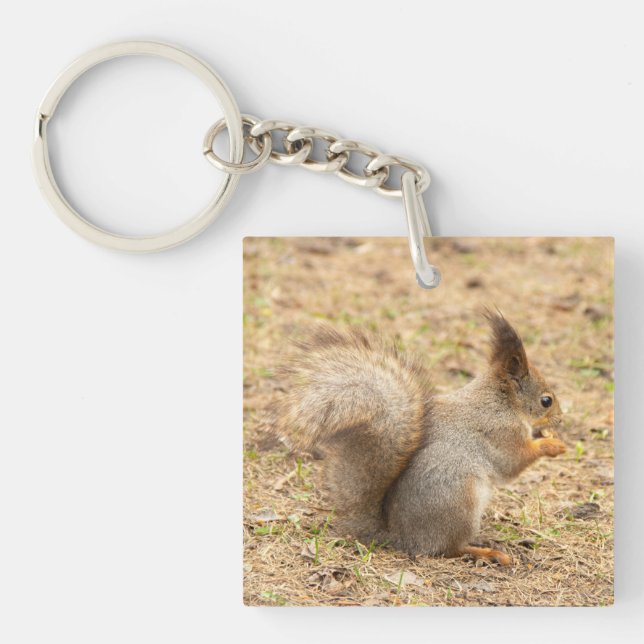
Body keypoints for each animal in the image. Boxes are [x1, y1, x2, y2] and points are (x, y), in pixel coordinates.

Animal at [268, 311, 566, 566]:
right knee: (449, 549)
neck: (501, 402)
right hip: (460, 501)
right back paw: (486, 552)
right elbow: (513, 462)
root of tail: (401, 537)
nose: (561, 420)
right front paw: (552, 444)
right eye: (546, 401)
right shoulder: (501, 432)